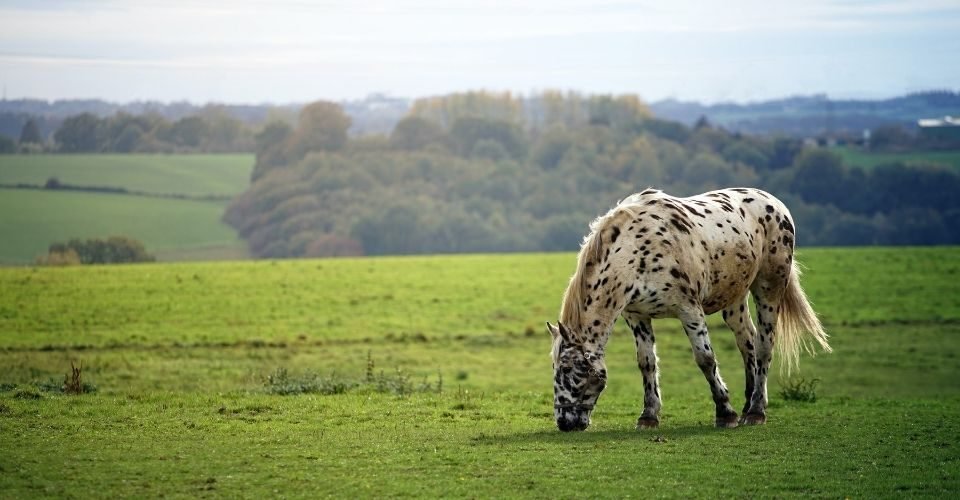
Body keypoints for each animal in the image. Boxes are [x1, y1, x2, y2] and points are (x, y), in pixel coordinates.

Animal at [548, 188, 832, 430]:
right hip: (735, 299)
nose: (564, 422)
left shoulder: (689, 310)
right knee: (747, 342)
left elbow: (705, 359)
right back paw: (747, 403)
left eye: (568, 369)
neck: (636, 252)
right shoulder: (637, 316)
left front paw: (725, 413)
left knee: (764, 346)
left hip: (768, 288)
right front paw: (648, 416)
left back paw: (756, 411)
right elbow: (646, 363)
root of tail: (776, 204)